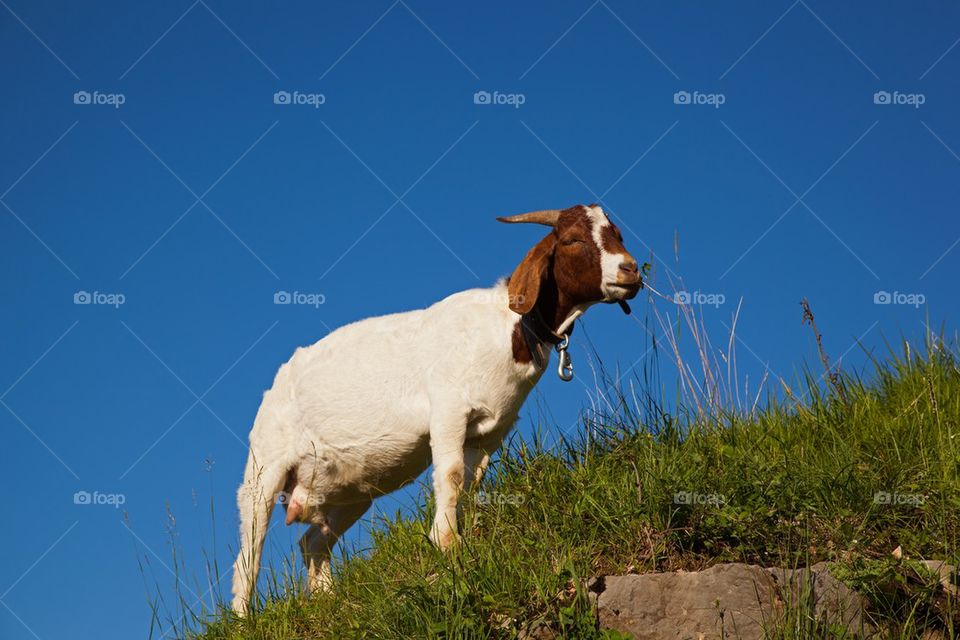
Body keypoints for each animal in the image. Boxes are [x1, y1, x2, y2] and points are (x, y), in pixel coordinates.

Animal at [231, 204, 642, 614]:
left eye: (618, 234)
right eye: (571, 239)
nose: (630, 270)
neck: (505, 330)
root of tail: (276, 385)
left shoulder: (492, 432)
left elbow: (472, 484)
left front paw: (465, 535)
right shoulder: (448, 411)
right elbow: (451, 474)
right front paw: (446, 543)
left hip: (352, 489)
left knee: (313, 541)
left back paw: (327, 600)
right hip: (265, 466)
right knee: (249, 553)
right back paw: (243, 617)